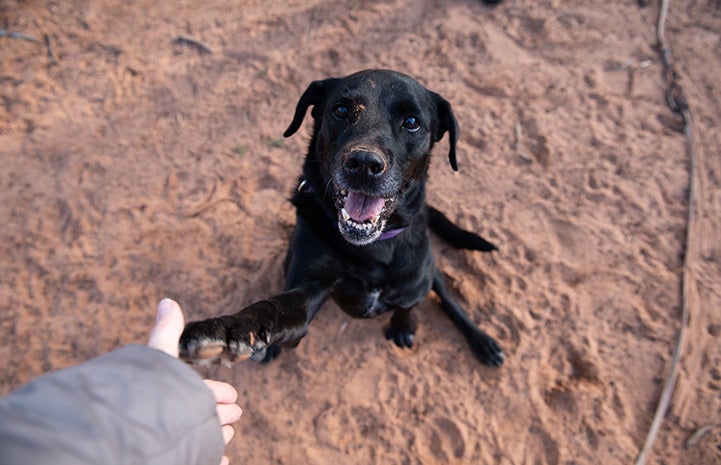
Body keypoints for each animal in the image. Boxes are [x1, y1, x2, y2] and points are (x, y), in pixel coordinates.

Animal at [179, 69, 504, 366]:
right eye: (341, 110)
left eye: (412, 122)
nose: (364, 164)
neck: (375, 248)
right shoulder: (307, 292)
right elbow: (272, 309)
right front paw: (228, 329)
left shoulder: (416, 283)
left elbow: (408, 305)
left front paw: (403, 326)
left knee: (447, 298)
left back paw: (482, 341)